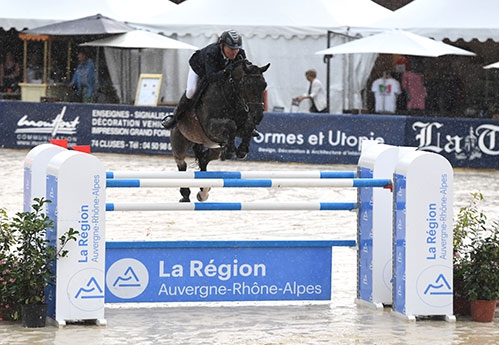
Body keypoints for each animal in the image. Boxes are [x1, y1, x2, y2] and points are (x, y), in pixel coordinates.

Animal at [169, 58, 272, 202]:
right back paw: (185, 195)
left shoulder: (242, 125)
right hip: (180, 141)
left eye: (264, 85)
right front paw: (230, 150)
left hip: (214, 149)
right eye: (247, 85)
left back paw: (203, 192)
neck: (231, 96)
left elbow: (248, 127)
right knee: (181, 164)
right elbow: (230, 125)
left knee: (204, 159)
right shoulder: (210, 126)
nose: (258, 116)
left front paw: (241, 150)